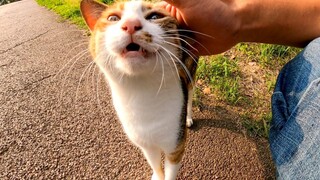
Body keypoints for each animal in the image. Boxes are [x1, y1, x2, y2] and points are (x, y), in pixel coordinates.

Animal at [80, 0, 198, 179]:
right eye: (113, 18)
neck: (141, 94)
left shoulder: (176, 146)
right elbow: (155, 164)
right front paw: (157, 175)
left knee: (190, 94)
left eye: (155, 16)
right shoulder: (145, 145)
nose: (131, 24)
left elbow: (170, 171)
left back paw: (189, 117)